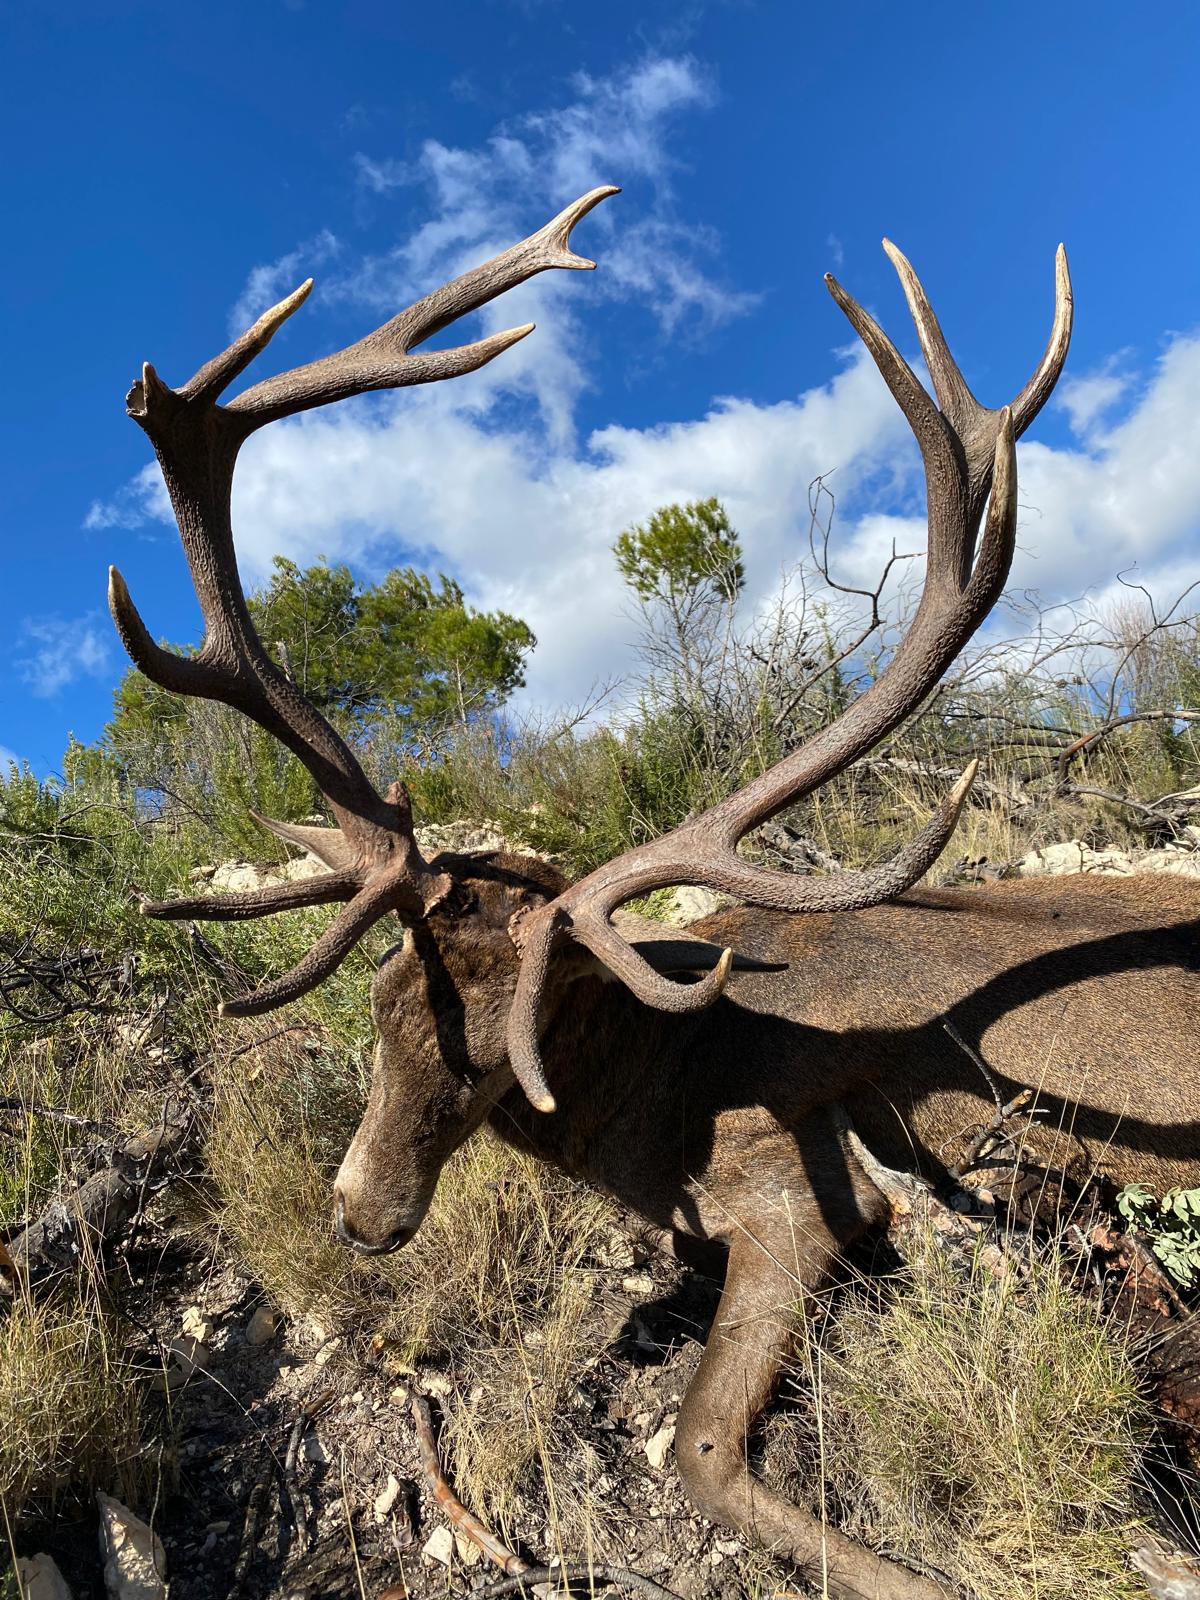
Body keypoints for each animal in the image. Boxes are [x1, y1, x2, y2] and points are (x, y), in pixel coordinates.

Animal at [107, 186, 1200, 1600]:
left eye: (498, 1056)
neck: (656, 1107)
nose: (356, 1214)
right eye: (383, 1002)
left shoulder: (806, 1179)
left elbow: (698, 1450)